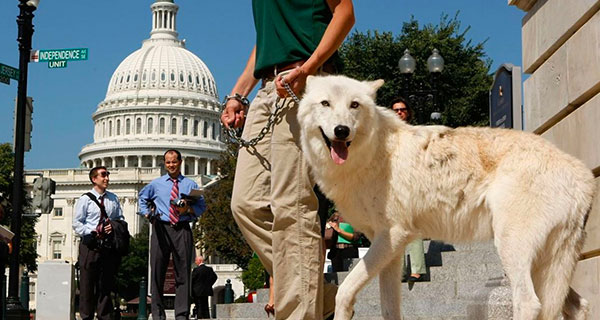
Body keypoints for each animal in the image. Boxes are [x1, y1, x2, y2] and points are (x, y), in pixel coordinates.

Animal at [296, 75, 596, 320]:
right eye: (325, 103)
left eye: (354, 105)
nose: (341, 130)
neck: (371, 155)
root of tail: (584, 177)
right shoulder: (390, 249)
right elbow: (390, 309)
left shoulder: (393, 236)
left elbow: (344, 292)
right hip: (548, 265)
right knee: (578, 305)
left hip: (513, 250)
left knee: (530, 303)